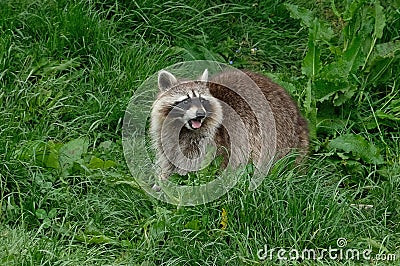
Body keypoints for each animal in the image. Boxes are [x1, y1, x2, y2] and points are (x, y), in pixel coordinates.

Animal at [150, 69, 310, 183]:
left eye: (202, 100)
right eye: (186, 100)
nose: (201, 114)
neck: (183, 130)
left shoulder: (212, 145)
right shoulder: (167, 141)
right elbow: (168, 163)